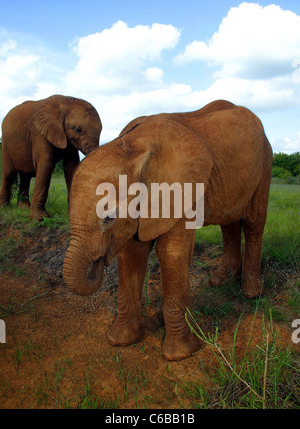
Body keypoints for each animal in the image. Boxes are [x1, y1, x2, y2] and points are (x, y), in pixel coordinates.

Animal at [62, 98, 274, 360]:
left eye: (110, 217)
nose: (99, 261)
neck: (131, 147)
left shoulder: (181, 188)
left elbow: (171, 254)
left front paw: (179, 354)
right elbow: (132, 254)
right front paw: (120, 341)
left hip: (265, 161)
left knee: (254, 222)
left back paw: (252, 292)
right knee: (229, 221)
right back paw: (220, 280)